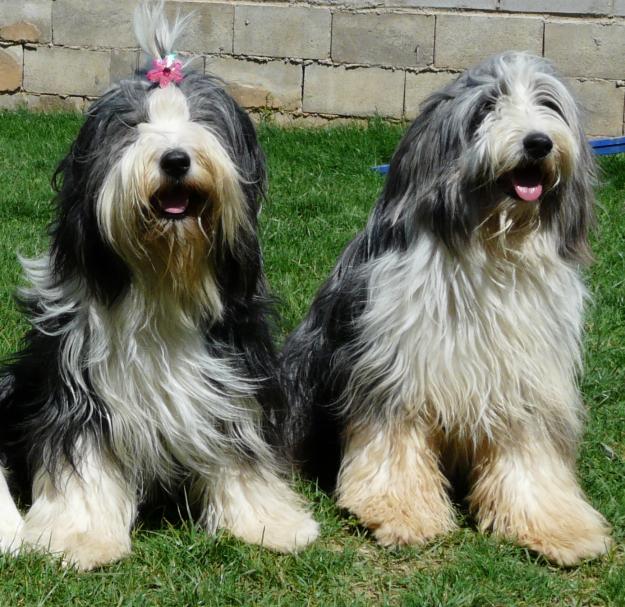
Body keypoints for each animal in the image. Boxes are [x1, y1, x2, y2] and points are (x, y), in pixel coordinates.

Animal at [0, 1, 316, 568]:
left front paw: (266, 523)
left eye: (204, 122)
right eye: (132, 126)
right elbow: (84, 454)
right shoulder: (79, 384)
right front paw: (81, 537)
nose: (175, 159)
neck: (163, 281)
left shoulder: (235, 371)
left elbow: (242, 450)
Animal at [282, 53, 608, 568]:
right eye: (489, 106)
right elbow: (394, 445)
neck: (491, 246)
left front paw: (556, 527)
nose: (538, 142)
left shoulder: (526, 380)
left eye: (548, 104)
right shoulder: (397, 369)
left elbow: (531, 457)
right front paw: (400, 512)